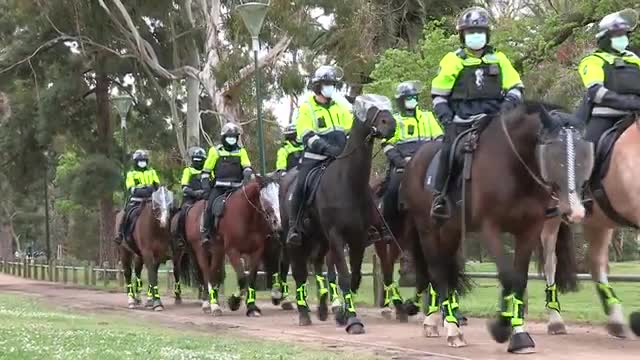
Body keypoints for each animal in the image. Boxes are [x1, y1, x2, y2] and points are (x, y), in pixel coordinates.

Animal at [208, 176, 282, 316]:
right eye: (265, 197)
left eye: (278, 195)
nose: (277, 222)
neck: (246, 217)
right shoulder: (232, 251)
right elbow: (242, 279)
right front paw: (234, 302)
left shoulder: (256, 251)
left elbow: (251, 279)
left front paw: (252, 307)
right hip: (217, 248)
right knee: (212, 273)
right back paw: (214, 306)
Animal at [402, 102, 592, 352]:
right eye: (553, 155)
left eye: (584, 154)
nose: (575, 210)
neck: (513, 166)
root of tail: (415, 159)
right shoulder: (489, 228)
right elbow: (507, 277)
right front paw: (501, 328)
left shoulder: (529, 229)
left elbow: (519, 280)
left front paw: (519, 334)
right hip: (428, 230)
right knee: (438, 272)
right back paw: (452, 330)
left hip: (451, 232)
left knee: (447, 272)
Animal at [544, 112, 640, 338]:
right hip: (550, 221)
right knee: (550, 262)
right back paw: (555, 322)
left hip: (599, 223)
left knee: (596, 263)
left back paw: (615, 321)